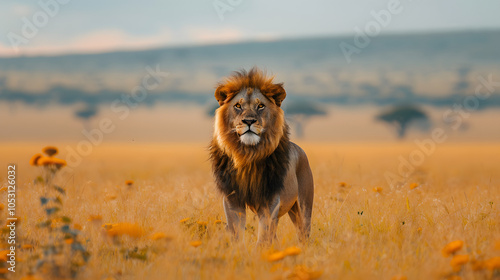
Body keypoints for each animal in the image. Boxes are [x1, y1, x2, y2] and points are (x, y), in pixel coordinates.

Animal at [210, 66, 312, 244]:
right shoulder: (232, 199)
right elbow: (236, 232)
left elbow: (264, 236)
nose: (249, 121)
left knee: (303, 232)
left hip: (303, 206)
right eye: (238, 105)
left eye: (261, 106)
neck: (248, 154)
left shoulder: (271, 201)